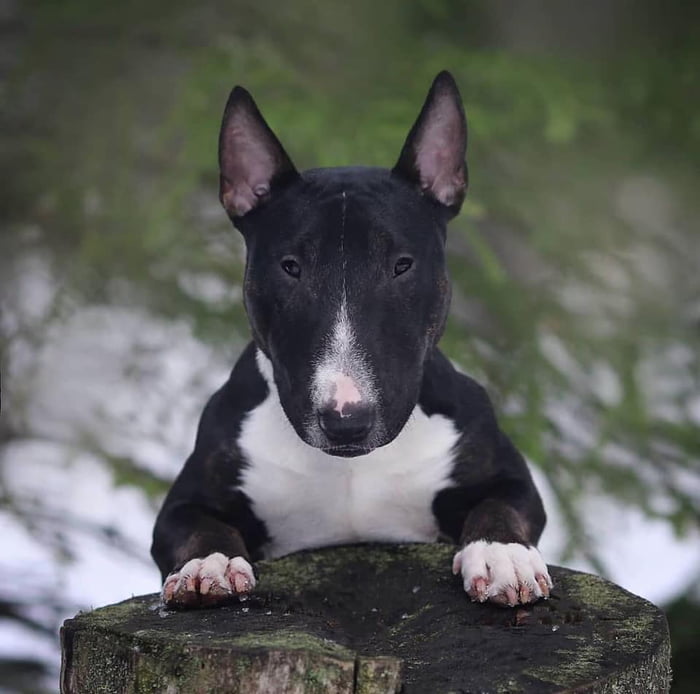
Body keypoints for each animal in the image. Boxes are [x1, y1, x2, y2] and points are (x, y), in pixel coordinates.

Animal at [152, 72, 552, 608]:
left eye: (402, 265)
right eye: (291, 266)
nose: (346, 421)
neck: (351, 467)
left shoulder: (504, 469)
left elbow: (502, 504)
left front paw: (503, 556)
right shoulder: (186, 496)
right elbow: (196, 525)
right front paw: (206, 565)